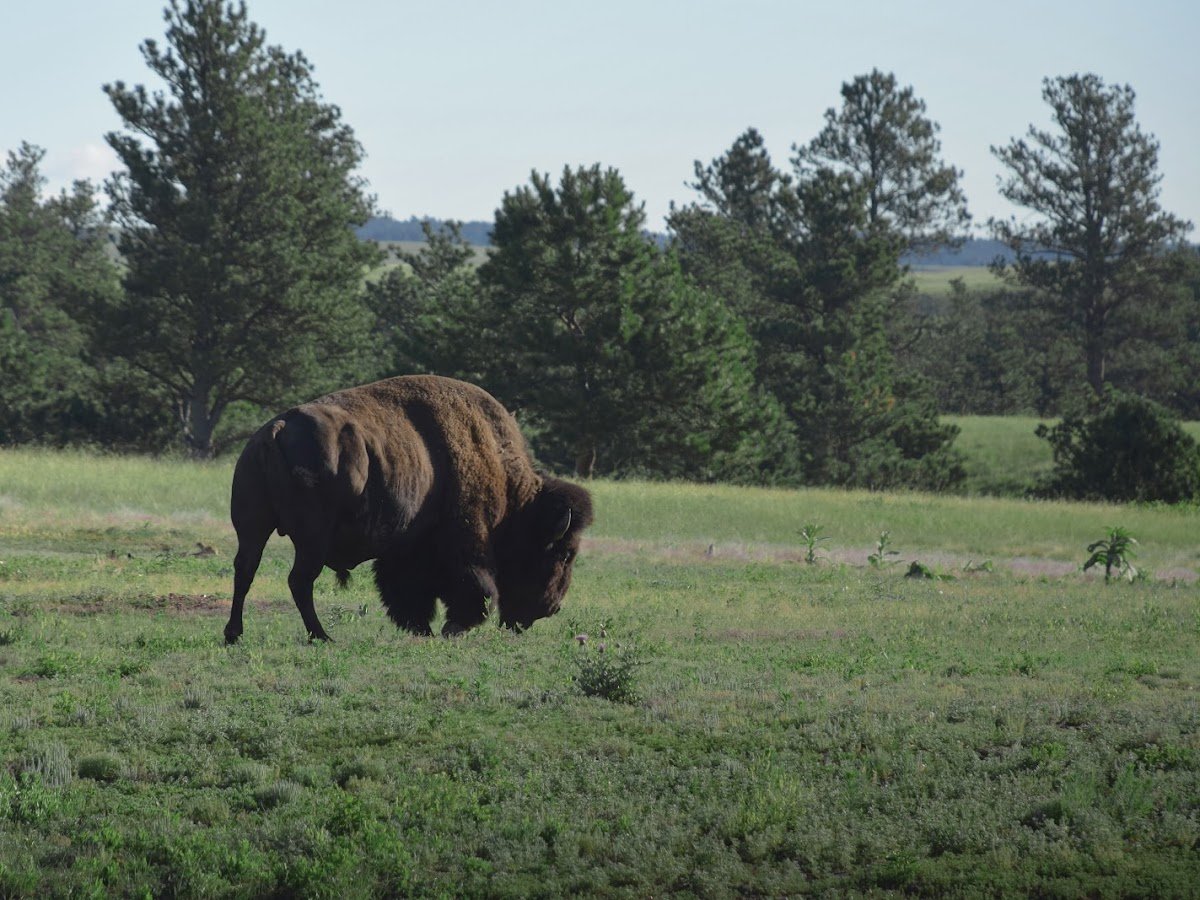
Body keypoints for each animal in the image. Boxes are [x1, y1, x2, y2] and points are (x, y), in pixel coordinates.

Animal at [224, 375, 593, 643]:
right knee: (298, 580)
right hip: (312, 538)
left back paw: (234, 634)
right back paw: (322, 636)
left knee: (245, 570)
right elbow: (474, 588)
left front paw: (420, 628)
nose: (551, 608)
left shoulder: (405, 547)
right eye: (564, 554)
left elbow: (405, 592)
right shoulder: (466, 539)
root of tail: (276, 430)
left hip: (253, 527)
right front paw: (451, 629)